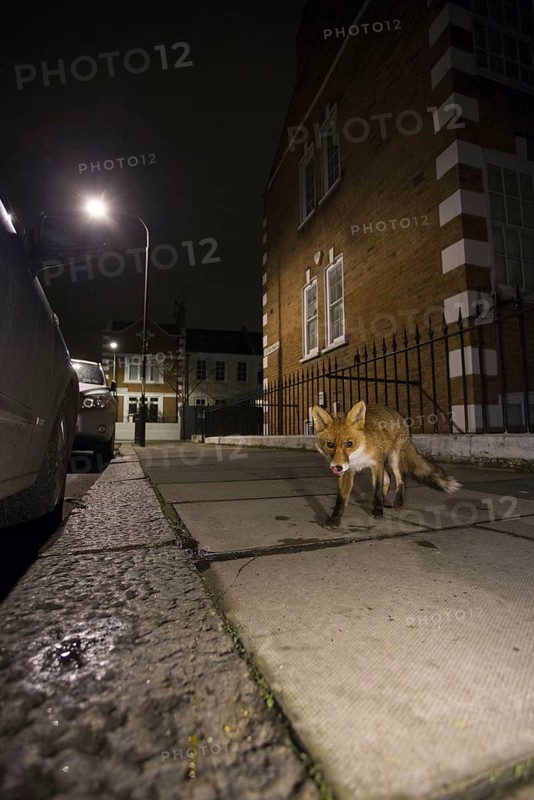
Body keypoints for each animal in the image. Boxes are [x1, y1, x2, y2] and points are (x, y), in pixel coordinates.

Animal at [312, 400, 461, 528]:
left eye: (349, 444)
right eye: (330, 445)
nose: (337, 467)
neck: (359, 454)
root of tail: (397, 414)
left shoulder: (376, 463)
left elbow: (377, 488)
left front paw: (378, 510)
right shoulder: (349, 470)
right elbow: (341, 498)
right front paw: (334, 519)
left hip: (393, 460)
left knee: (400, 479)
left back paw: (397, 502)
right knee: (388, 477)